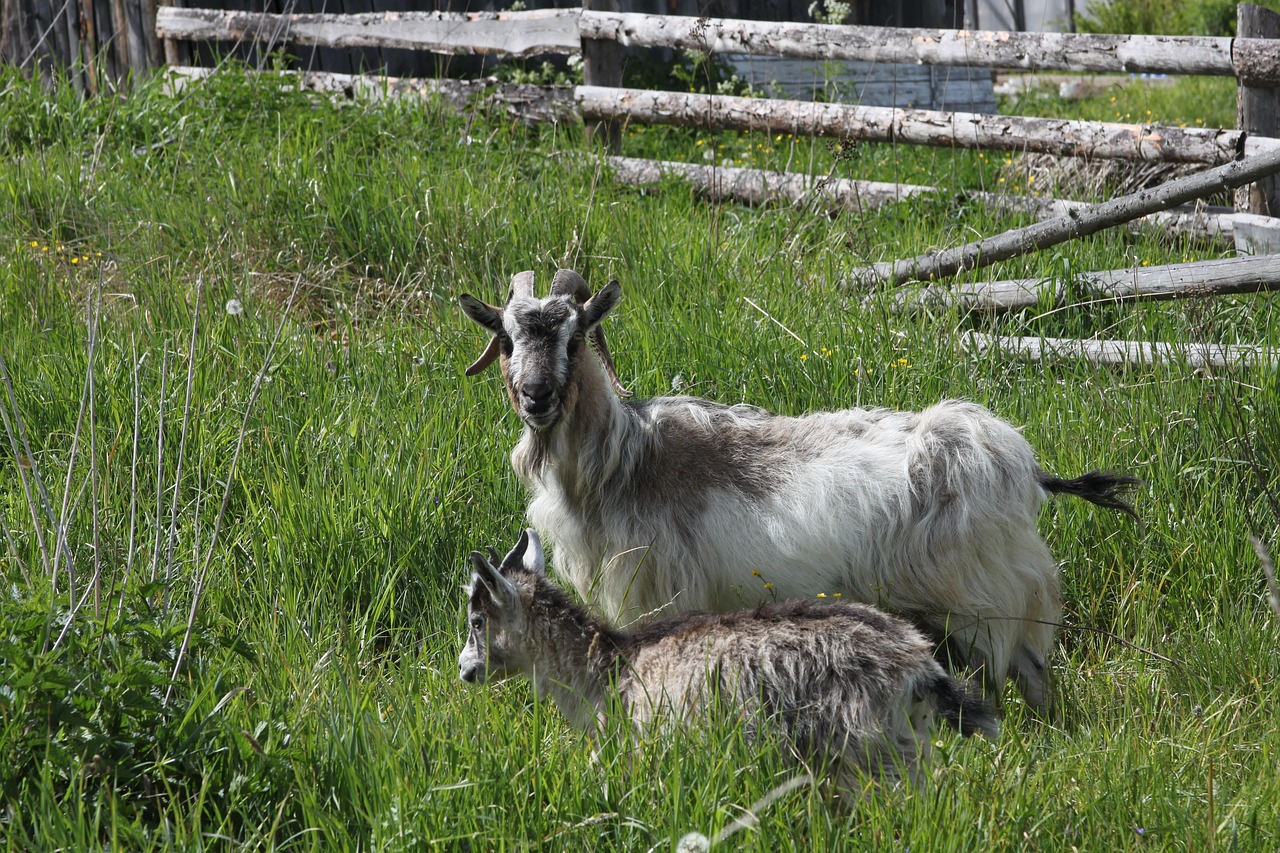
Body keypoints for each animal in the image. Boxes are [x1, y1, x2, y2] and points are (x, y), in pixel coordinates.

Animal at [460, 268, 1141, 706]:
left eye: (575, 337)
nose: (537, 397)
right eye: (507, 340)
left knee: (1027, 675)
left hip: (988, 599)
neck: (622, 459)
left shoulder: (657, 593)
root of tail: (1026, 469)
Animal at [460, 525, 998, 783]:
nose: (466, 670)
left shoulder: (637, 739)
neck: (608, 667)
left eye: (476, 621)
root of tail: (917, 663)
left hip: (866, 744)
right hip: (901, 741)